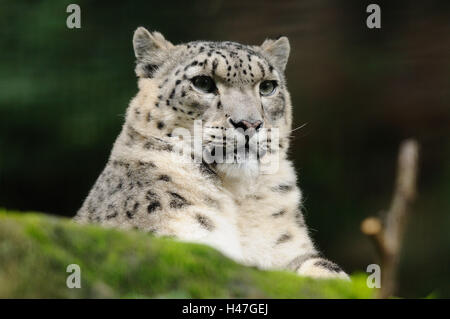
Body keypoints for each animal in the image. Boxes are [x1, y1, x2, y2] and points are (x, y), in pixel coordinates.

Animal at [74, 26, 348, 280]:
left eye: (268, 86)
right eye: (203, 83)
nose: (250, 123)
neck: (237, 197)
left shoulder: (289, 249)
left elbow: (325, 268)